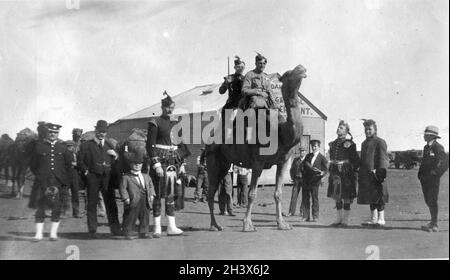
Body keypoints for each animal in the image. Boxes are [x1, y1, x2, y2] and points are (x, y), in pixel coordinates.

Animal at [207, 64, 306, 232]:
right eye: (288, 73)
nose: (302, 69)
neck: (280, 132)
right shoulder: (258, 162)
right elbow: (252, 194)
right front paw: (247, 225)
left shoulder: (284, 161)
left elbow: (278, 193)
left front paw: (282, 224)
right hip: (212, 160)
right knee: (210, 192)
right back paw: (215, 225)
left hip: (224, 164)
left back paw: (216, 225)